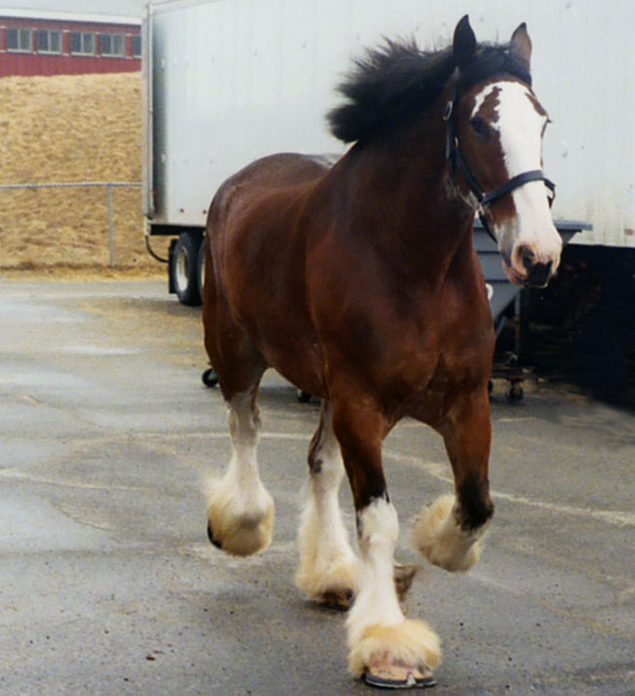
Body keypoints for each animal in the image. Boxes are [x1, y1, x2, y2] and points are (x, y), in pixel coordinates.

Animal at [202, 15, 561, 689]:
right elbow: (379, 519)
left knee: (319, 464)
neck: (412, 264)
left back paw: (332, 576)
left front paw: (433, 547)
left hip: (327, 392)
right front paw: (389, 645)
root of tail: (240, 183)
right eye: (480, 123)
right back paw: (239, 524)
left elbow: (477, 504)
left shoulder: (465, 403)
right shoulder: (363, 406)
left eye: (542, 121)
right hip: (236, 352)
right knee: (246, 428)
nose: (538, 255)